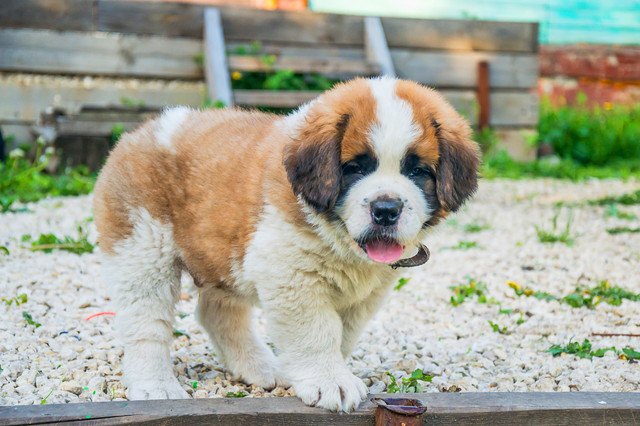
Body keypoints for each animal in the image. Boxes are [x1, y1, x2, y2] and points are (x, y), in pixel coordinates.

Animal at [94, 77, 480, 412]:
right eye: (355, 168)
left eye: (418, 172)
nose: (386, 210)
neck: (338, 241)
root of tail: (139, 133)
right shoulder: (289, 274)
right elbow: (317, 331)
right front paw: (330, 381)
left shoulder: (366, 294)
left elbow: (343, 334)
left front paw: (324, 372)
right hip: (143, 248)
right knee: (146, 322)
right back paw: (155, 386)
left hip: (224, 253)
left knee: (217, 313)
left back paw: (261, 367)